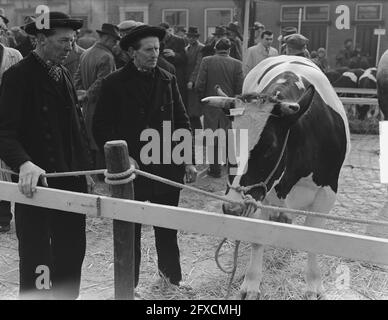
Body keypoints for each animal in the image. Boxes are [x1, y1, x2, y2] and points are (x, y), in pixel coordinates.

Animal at [202, 55, 350, 300]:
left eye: (270, 147)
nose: (232, 208)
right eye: (229, 141)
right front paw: (251, 284)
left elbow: (314, 240)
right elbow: (258, 239)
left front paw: (313, 285)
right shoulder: (259, 196)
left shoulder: (327, 195)